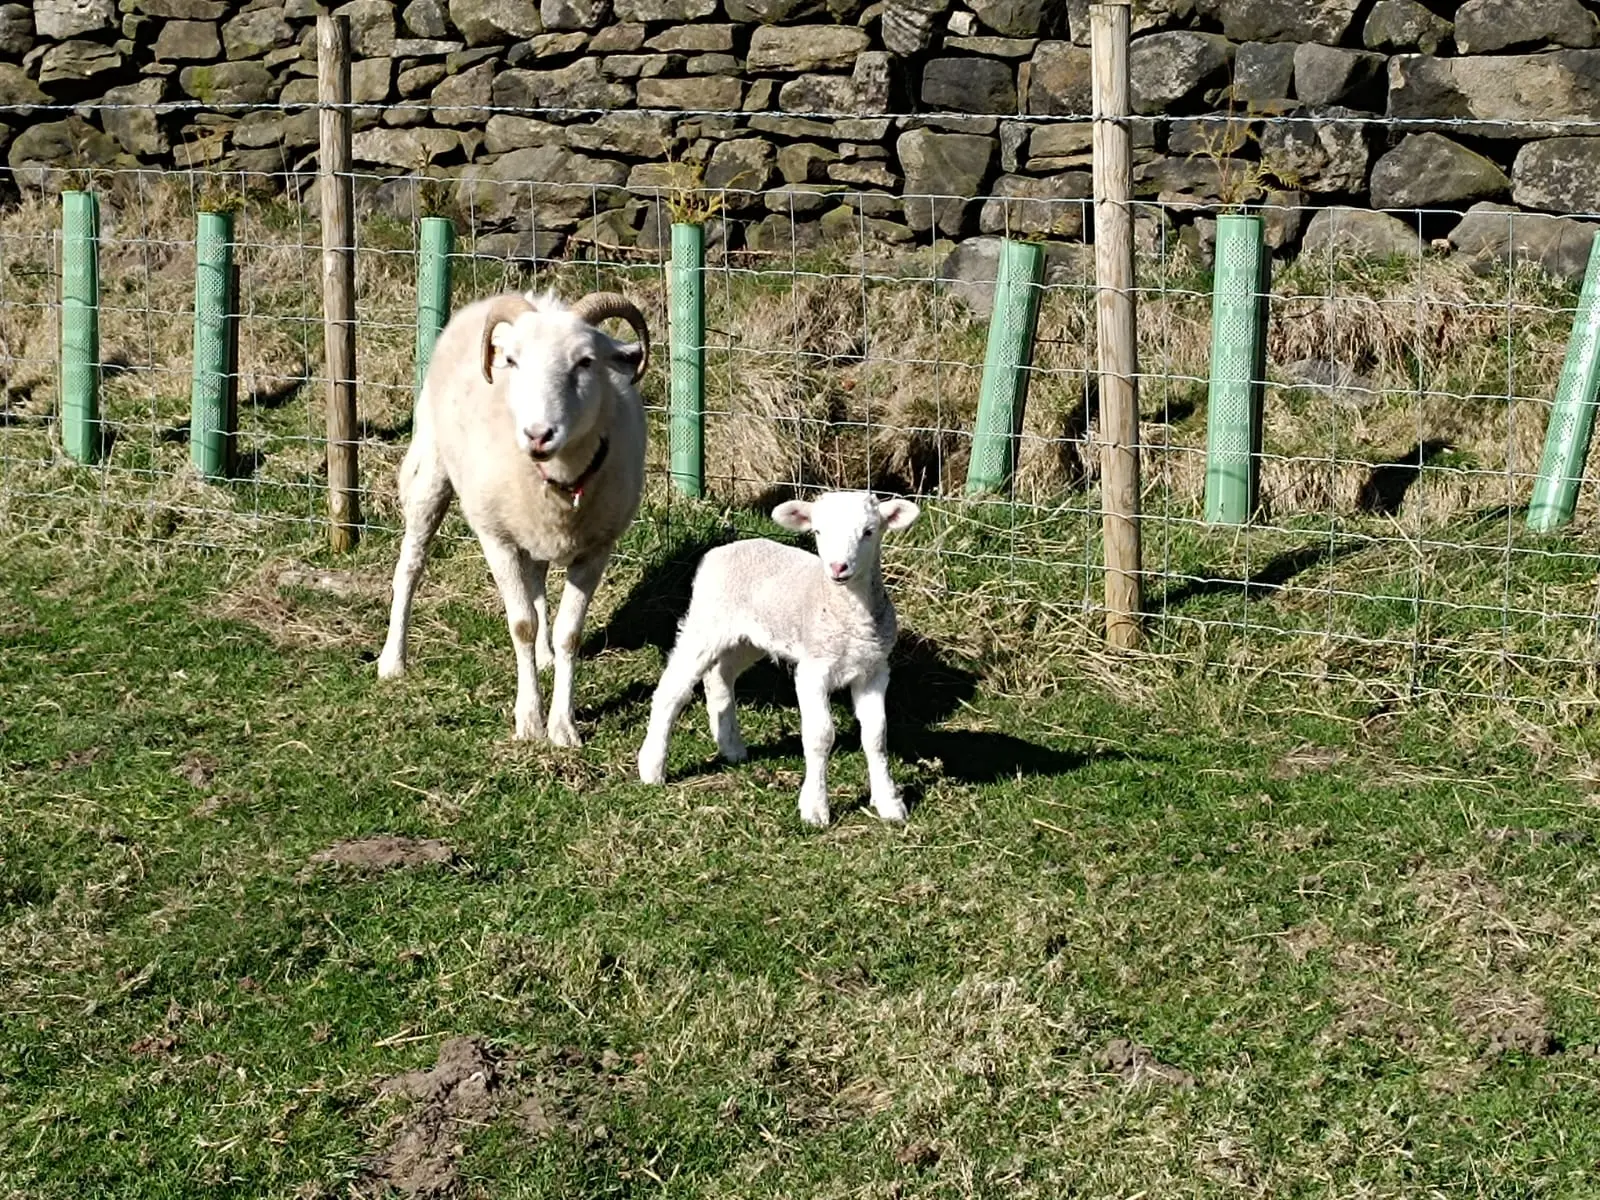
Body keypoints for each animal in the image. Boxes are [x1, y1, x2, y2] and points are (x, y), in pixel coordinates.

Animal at [376, 289, 650, 747]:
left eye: (586, 361)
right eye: (514, 361)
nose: (539, 435)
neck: (559, 480)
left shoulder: (596, 547)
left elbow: (569, 632)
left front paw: (563, 726)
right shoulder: (497, 539)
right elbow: (521, 624)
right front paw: (529, 721)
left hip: (532, 531)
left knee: (537, 582)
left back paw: (544, 656)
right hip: (431, 471)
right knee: (410, 566)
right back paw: (393, 661)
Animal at [636, 490, 922, 826]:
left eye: (869, 531)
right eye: (818, 531)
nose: (838, 567)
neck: (848, 613)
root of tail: (720, 551)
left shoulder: (874, 670)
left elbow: (877, 735)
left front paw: (889, 803)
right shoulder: (813, 670)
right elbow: (820, 736)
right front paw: (815, 808)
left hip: (749, 636)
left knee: (719, 676)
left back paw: (730, 746)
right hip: (706, 621)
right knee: (672, 690)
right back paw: (652, 767)